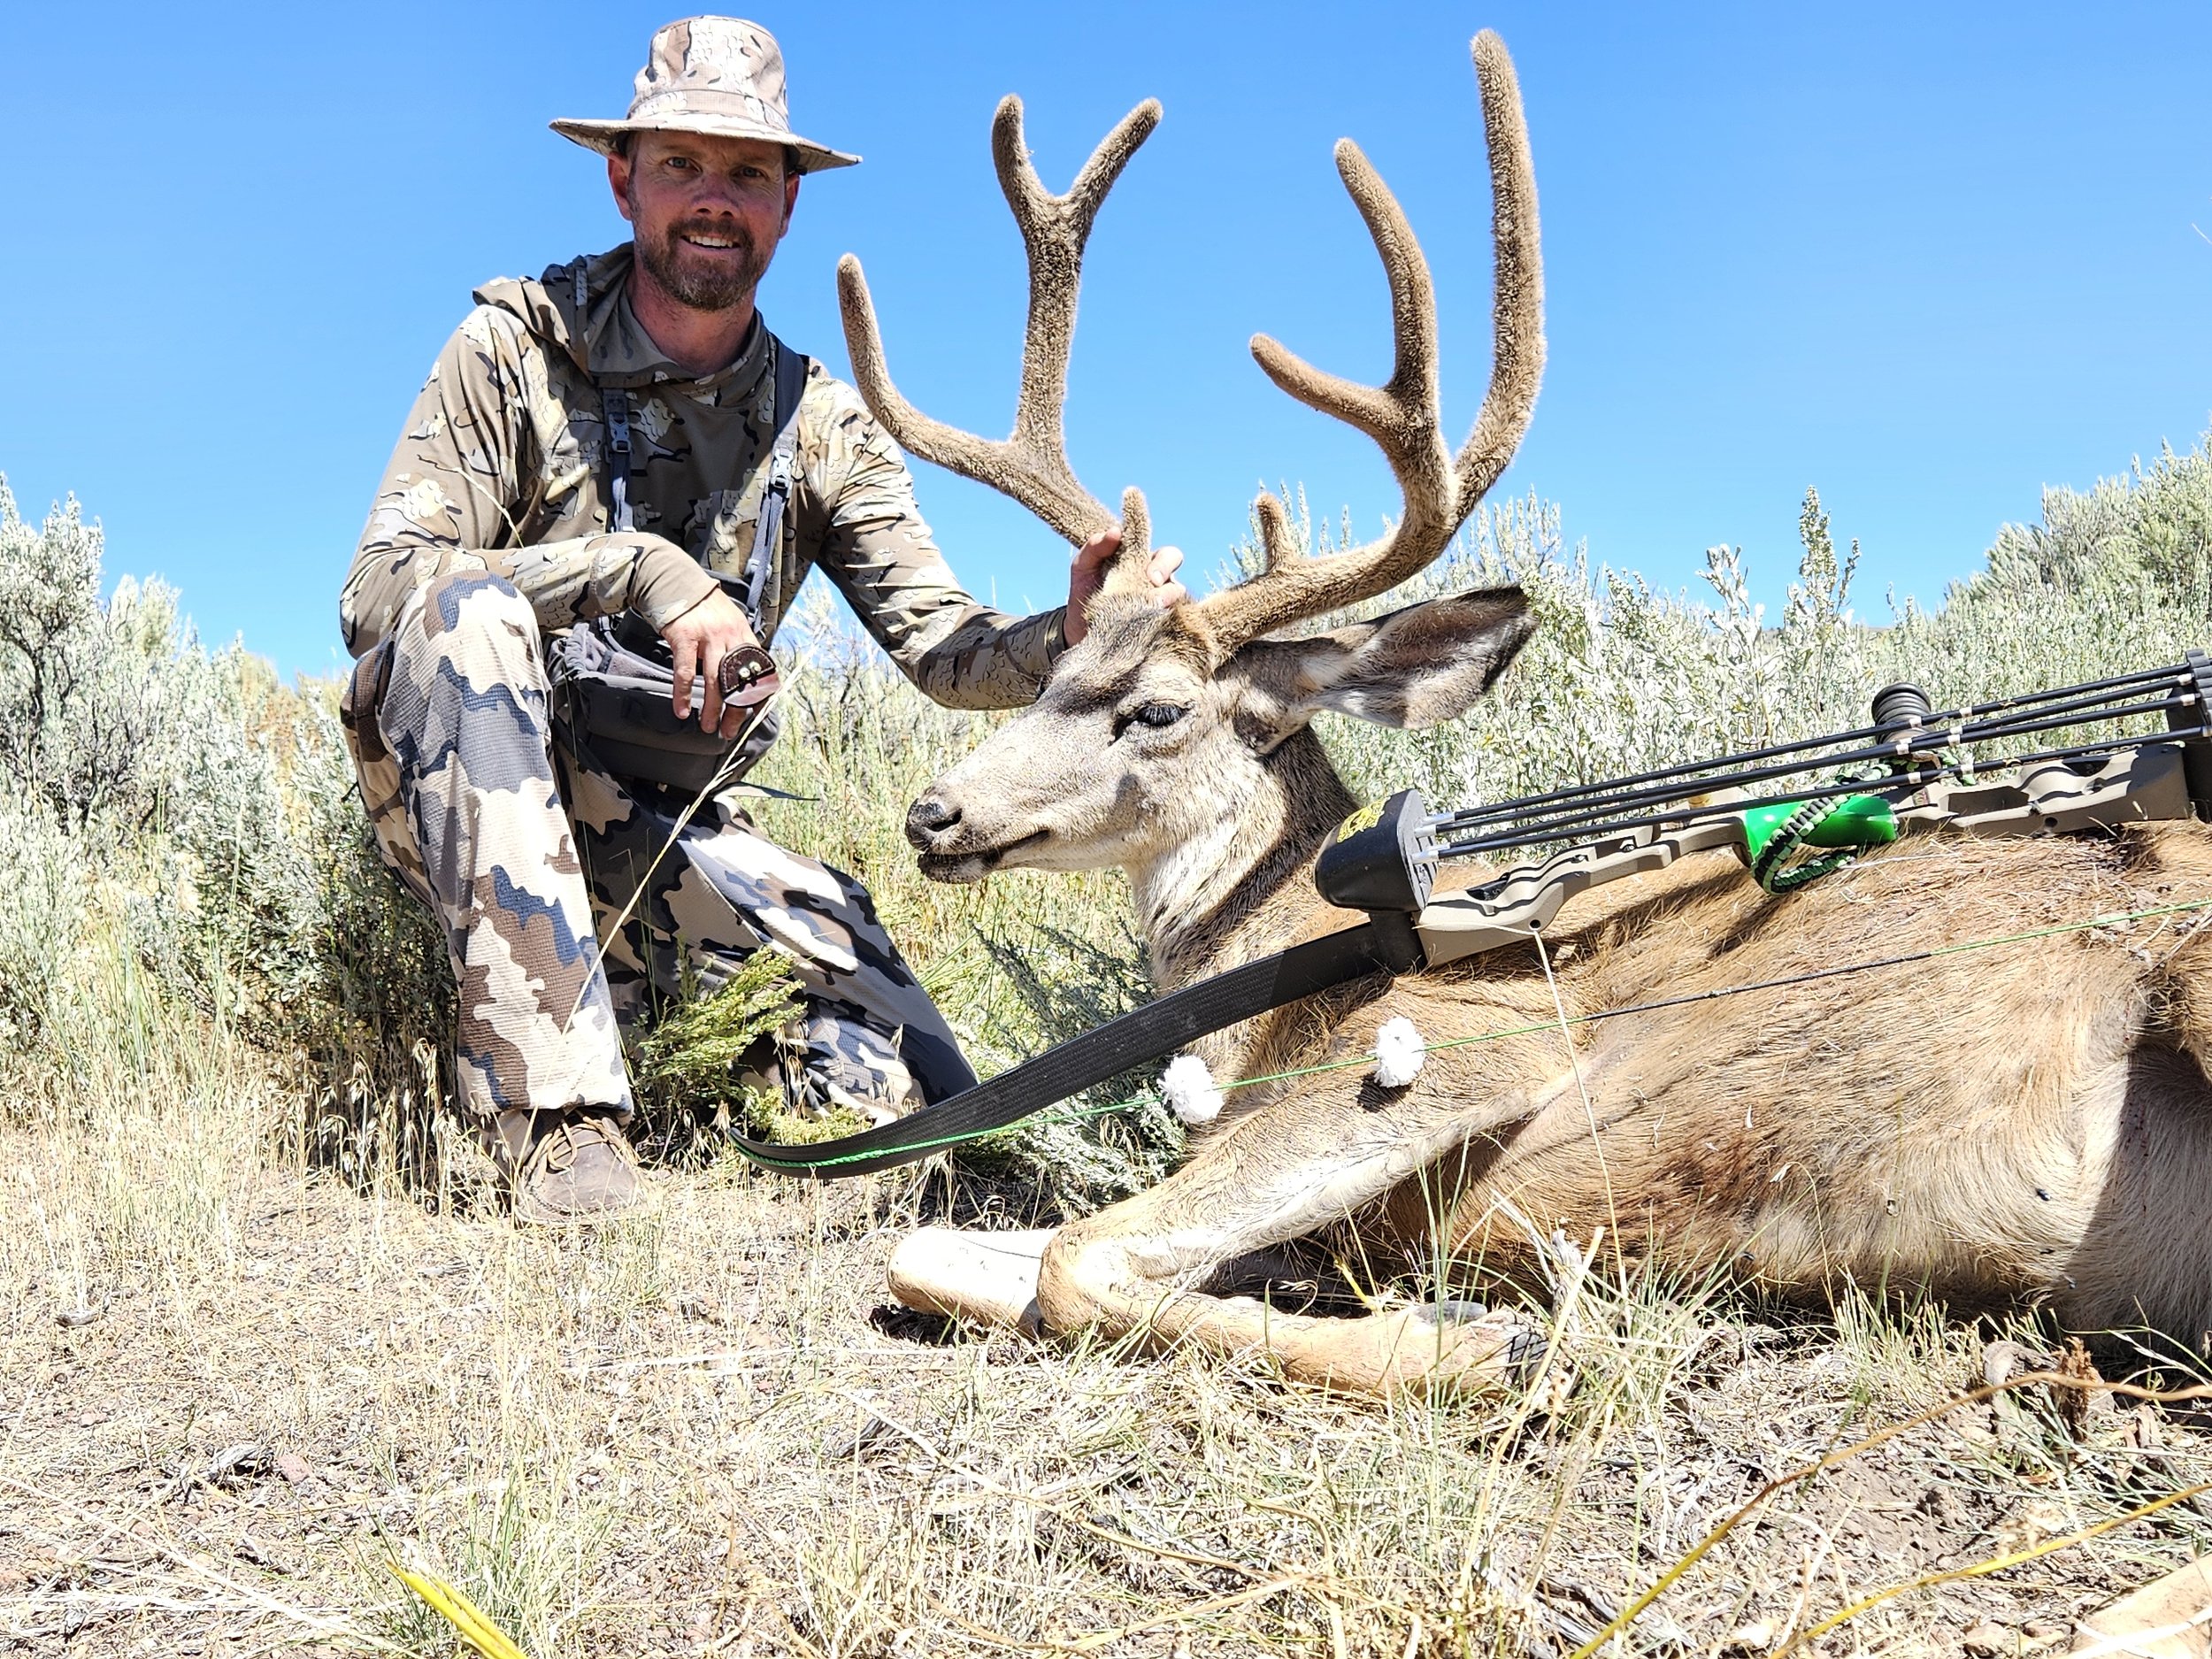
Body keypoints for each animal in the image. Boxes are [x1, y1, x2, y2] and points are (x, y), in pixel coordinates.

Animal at [837, 32, 2212, 1394]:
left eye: (1158, 708)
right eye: (1053, 668)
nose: (932, 813)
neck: (1279, 982)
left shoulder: (1467, 1045)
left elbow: (1079, 1259)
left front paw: (1470, 1342)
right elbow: (930, 1251)